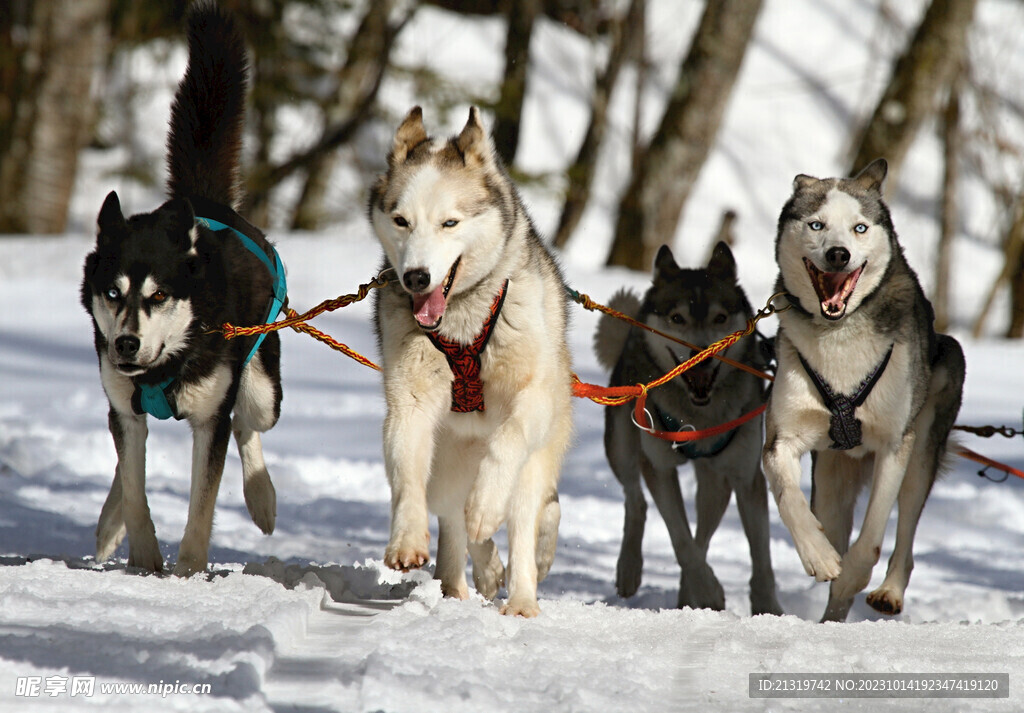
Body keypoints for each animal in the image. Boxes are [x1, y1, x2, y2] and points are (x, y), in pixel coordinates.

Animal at [80, 2, 284, 577]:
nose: (126, 343)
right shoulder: (125, 406)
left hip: (262, 387)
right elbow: (134, 486)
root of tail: (204, 202)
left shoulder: (210, 419)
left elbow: (202, 503)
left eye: (158, 296)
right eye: (113, 293)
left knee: (248, 424)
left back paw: (262, 499)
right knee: (125, 458)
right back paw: (109, 524)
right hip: (122, 400)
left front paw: (190, 570)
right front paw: (144, 559)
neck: (165, 365)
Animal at [370, 107, 577, 618]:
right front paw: (407, 540)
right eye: (401, 220)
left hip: (536, 459)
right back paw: (466, 580)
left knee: (524, 517)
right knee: (454, 520)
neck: (462, 322)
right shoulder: (409, 402)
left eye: (450, 222)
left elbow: (507, 441)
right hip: (446, 464)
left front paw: (486, 505)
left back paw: (520, 597)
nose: (416, 276)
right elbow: (406, 476)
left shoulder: (532, 398)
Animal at [598, 243, 778, 614]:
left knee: (704, 532)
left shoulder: (746, 476)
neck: (699, 415)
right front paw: (708, 590)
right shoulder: (659, 467)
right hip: (622, 445)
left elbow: (761, 556)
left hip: (716, 481)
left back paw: (686, 595)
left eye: (720, 318)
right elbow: (680, 540)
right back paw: (630, 569)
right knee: (635, 501)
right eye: (677, 318)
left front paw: (769, 608)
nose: (702, 355)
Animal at [765, 158, 962, 622]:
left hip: (922, 447)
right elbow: (788, 497)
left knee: (905, 532)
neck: (839, 336)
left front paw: (853, 574)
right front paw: (819, 555)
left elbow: (872, 537)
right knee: (832, 521)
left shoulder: (894, 443)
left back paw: (887, 591)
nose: (839, 253)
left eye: (859, 228)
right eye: (816, 225)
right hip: (830, 479)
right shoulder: (782, 439)